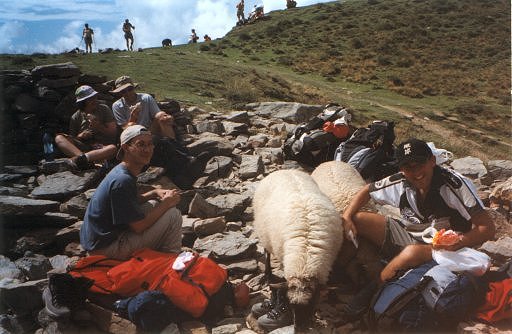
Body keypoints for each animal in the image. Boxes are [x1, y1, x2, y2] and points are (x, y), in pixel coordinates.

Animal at [253, 170, 344, 328]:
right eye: (291, 306)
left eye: (313, 305)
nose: (300, 329)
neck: (305, 261)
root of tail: (283, 170)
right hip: (263, 231)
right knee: (267, 252)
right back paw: (267, 274)